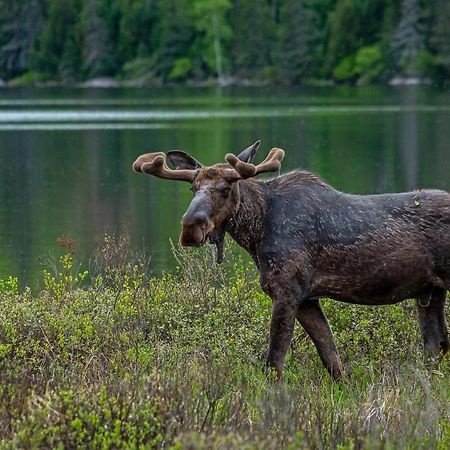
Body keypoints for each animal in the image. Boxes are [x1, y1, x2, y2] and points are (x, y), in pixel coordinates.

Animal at [132, 141, 448, 380]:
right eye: (193, 188)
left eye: (226, 188)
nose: (190, 227)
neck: (256, 231)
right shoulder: (307, 299)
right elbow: (332, 359)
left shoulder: (287, 290)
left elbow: (275, 361)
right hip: (431, 294)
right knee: (437, 346)